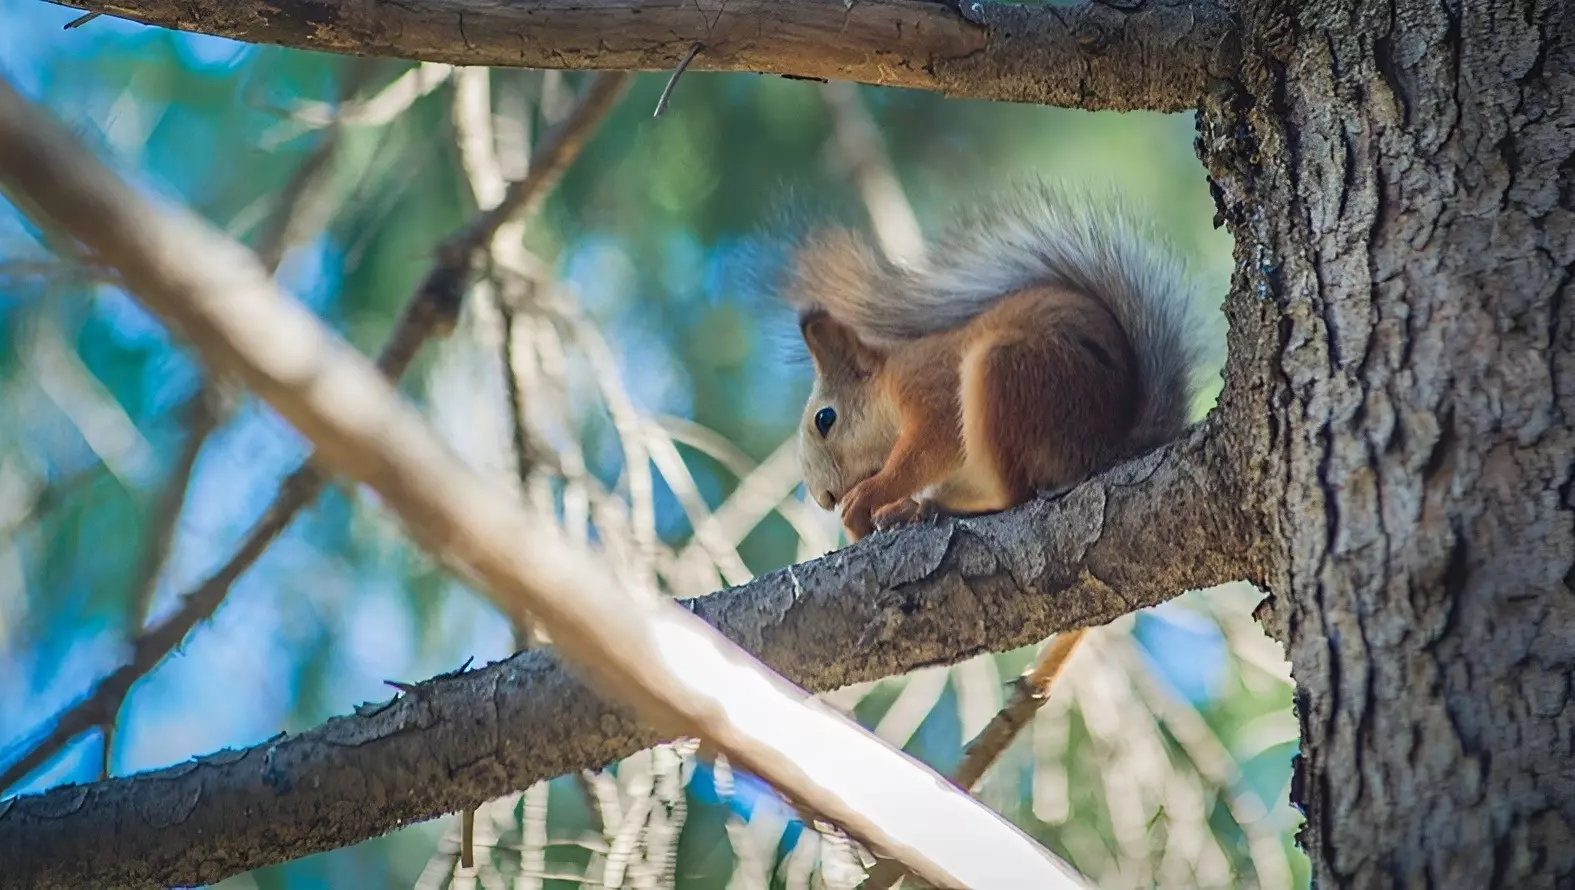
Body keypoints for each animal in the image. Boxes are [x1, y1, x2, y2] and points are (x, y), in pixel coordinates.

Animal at [774, 178, 1203, 686]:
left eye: (825, 419)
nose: (824, 498)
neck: (889, 381)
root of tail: (1109, 445)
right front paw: (877, 514)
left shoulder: (933, 389)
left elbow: (930, 446)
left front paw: (870, 496)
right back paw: (919, 510)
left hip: (1004, 373)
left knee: (1015, 495)